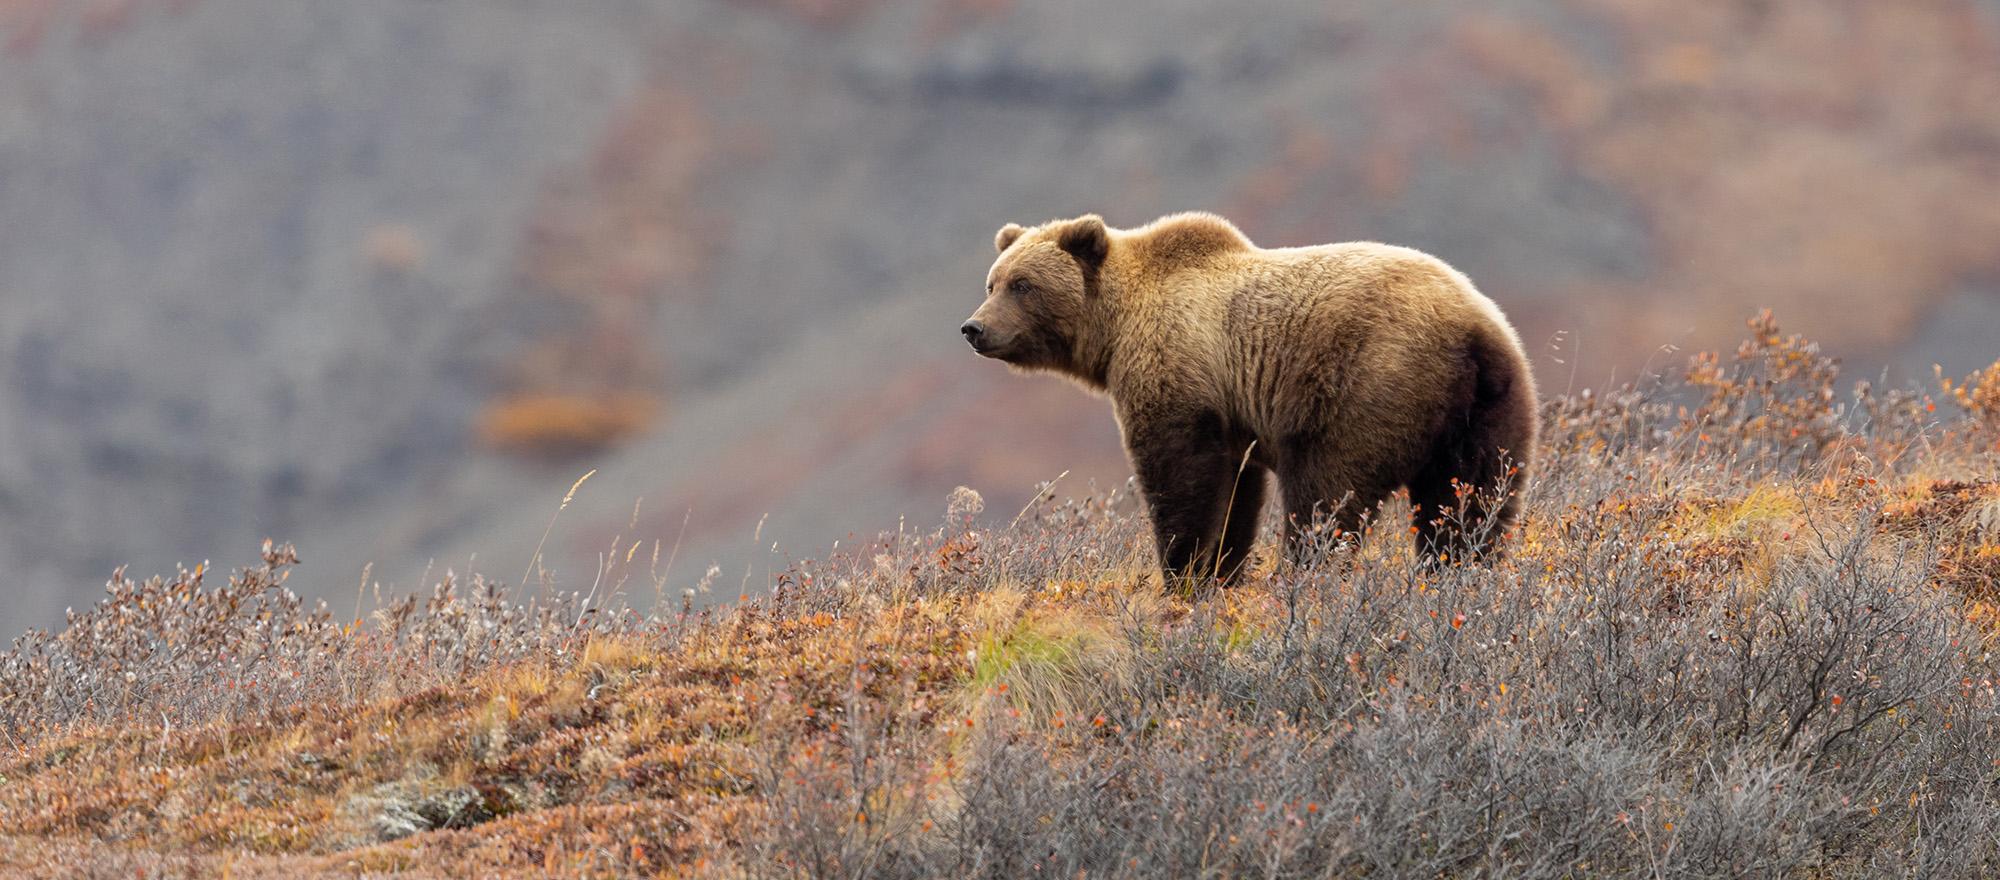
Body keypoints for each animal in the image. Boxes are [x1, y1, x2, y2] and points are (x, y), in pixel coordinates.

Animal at [960, 211, 1538, 588]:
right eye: (992, 281)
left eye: (1023, 284)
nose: (974, 328)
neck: (1115, 329)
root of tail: (1471, 331)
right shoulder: (1234, 416)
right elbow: (1237, 493)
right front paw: (1221, 571)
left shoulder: (1180, 373)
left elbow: (1182, 477)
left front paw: (1185, 572)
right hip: (1491, 408)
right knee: (1471, 501)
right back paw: (1458, 574)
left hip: (1368, 384)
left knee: (1328, 495)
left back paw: (1306, 576)